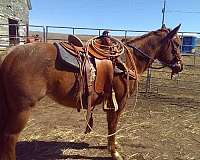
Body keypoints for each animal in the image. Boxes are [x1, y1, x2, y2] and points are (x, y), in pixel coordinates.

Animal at [0, 24, 183, 159]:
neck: (127, 60)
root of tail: (10, 54)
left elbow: (110, 125)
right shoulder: (119, 102)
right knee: (9, 138)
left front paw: (111, 146)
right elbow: (113, 125)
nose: (180, 66)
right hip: (22, 110)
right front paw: (114, 152)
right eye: (177, 44)